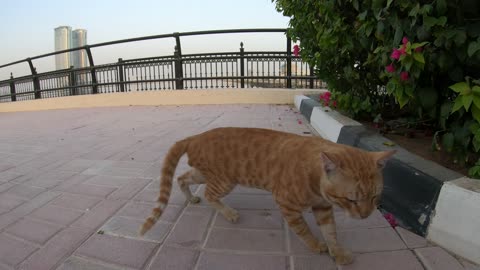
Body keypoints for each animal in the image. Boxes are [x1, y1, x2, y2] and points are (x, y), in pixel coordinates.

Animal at [139, 127, 394, 264]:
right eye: (351, 199)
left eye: (374, 198)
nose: (365, 216)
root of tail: (195, 136)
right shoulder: (286, 204)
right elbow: (304, 230)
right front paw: (315, 245)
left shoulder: (323, 207)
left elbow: (330, 231)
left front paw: (337, 251)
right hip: (224, 181)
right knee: (210, 195)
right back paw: (229, 213)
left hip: (203, 174)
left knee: (182, 178)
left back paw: (190, 197)